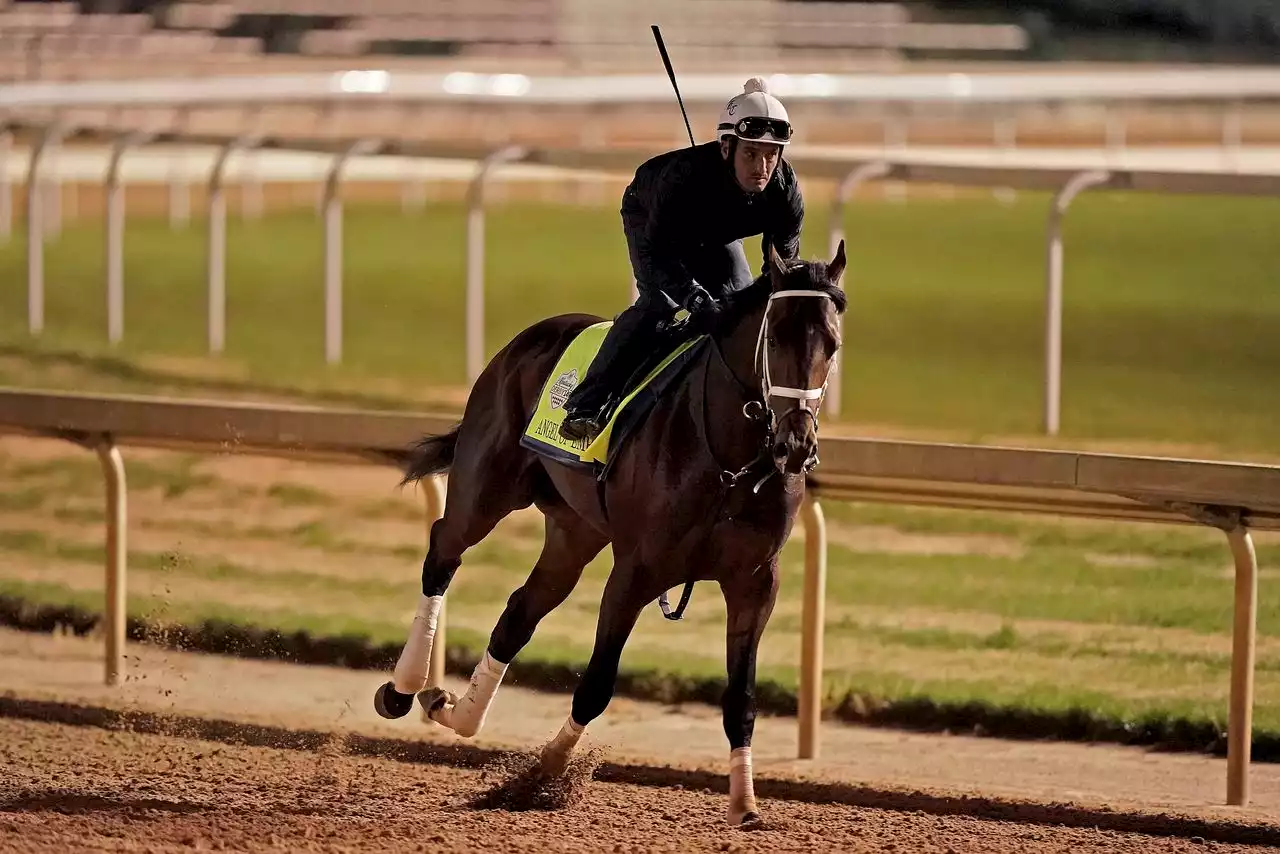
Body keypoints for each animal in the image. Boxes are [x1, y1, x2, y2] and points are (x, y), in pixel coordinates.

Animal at [373, 236, 844, 824]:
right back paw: (405, 687)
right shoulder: (637, 570)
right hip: (485, 489)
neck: (728, 459)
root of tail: (524, 341)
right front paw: (544, 775)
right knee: (443, 550)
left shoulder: (755, 582)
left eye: (832, 343)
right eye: (776, 336)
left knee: (519, 612)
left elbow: (742, 699)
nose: (796, 444)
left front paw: (745, 804)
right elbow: (596, 684)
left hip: (573, 531)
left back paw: (455, 710)